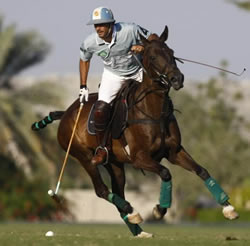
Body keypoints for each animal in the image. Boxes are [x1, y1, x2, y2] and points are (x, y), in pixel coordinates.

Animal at [32, 26, 238, 237]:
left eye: (172, 53)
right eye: (153, 57)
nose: (177, 79)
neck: (154, 112)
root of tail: (66, 113)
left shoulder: (174, 151)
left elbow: (201, 170)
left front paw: (228, 207)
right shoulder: (140, 158)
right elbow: (166, 173)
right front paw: (160, 208)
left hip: (114, 163)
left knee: (117, 190)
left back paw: (138, 228)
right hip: (83, 156)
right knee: (101, 190)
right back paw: (132, 212)